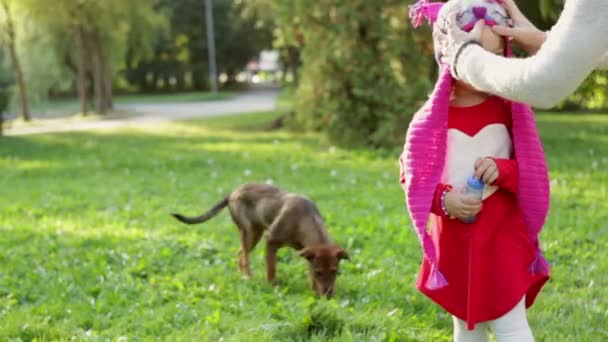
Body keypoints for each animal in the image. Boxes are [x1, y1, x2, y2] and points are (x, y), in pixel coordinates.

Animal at [173, 183, 350, 296]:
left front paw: (314, 291)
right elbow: (271, 269)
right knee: (244, 256)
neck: (305, 219)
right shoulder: (270, 241)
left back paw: (243, 276)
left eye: (335, 272)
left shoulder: (305, 251)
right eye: (319, 272)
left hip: (255, 234)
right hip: (248, 232)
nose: (328, 296)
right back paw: (247, 277)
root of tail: (232, 193)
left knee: (239, 254)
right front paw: (274, 288)